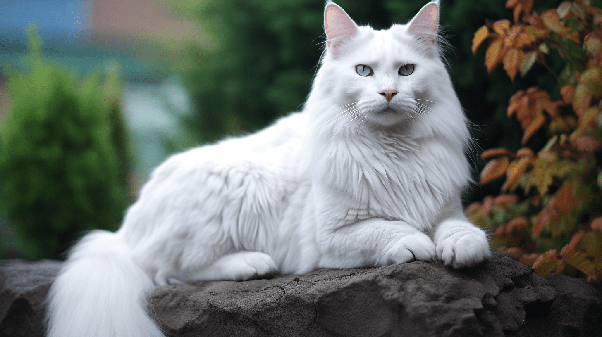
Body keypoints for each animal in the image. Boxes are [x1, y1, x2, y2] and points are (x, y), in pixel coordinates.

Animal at [45, 1, 488, 334]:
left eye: (406, 71)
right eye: (364, 71)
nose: (389, 93)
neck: (391, 150)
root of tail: (122, 233)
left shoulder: (448, 210)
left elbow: (462, 231)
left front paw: (463, 250)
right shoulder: (331, 237)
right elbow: (389, 229)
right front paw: (417, 244)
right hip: (231, 188)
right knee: (171, 271)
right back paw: (253, 264)